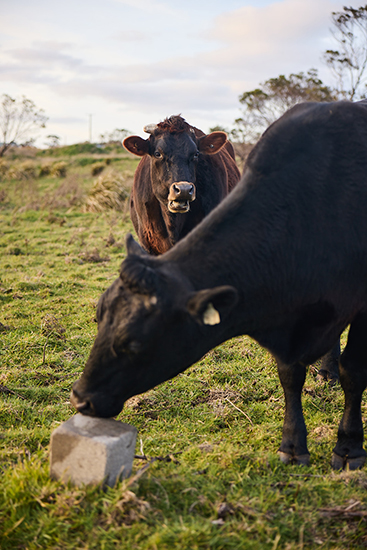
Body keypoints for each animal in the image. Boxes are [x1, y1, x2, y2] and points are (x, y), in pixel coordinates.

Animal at [71, 101, 367, 472]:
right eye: (157, 153)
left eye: (196, 155)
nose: (81, 397)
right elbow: (290, 373)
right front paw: (293, 444)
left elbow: (354, 372)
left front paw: (349, 447)